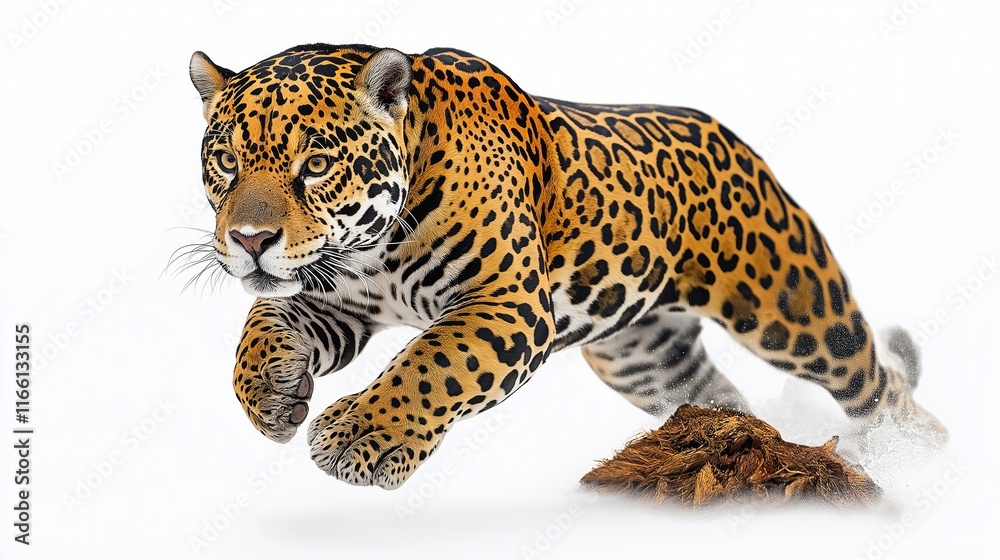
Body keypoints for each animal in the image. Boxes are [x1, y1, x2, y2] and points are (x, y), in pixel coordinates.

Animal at [186, 44, 945, 489]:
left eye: (315, 166)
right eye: (224, 161)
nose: (250, 239)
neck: (373, 247)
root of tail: (737, 142)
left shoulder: (508, 305)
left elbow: (431, 362)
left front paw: (362, 437)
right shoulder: (337, 297)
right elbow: (261, 322)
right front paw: (271, 392)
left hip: (795, 309)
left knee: (876, 384)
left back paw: (921, 458)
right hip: (643, 358)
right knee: (723, 397)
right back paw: (716, 453)